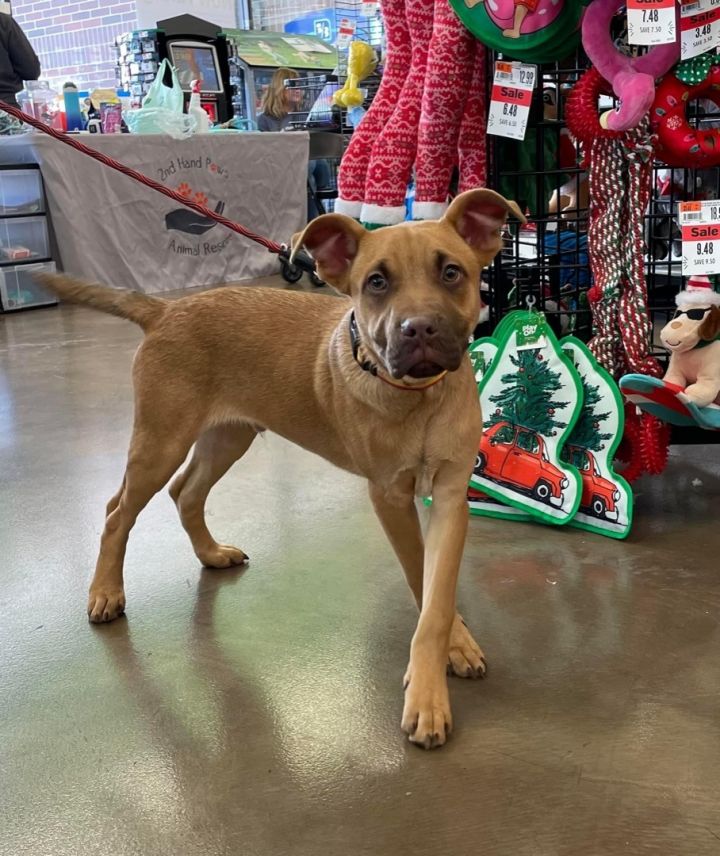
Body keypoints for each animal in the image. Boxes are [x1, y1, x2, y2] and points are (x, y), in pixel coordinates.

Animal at [35, 189, 524, 748]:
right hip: (160, 442)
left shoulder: (448, 498)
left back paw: (210, 553)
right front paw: (427, 693)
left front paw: (453, 648)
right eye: (376, 282)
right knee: (118, 511)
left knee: (186, 492)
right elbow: (422, 579)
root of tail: (166, 309)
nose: (418, 329)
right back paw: (105, 592)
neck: (417, 398)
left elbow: (437, 595)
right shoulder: (391, 498)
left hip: (228, 436)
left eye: (451, 272)